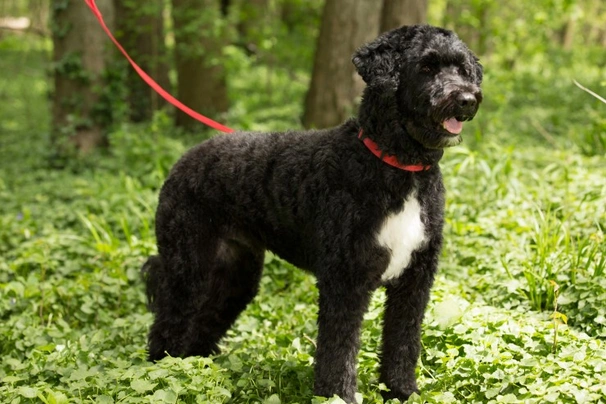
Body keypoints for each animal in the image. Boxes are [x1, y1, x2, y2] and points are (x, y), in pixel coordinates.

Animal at [144, 24, 484, 400]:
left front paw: (401, 392)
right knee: (167, 328)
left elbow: (403, 342)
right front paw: (338, 396)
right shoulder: (345, 279)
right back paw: (163, 377)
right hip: (188, 267)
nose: (468, 99)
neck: (397, 164)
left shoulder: (414, 279)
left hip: (233, 275)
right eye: (426, 67)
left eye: (462, 69)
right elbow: (339, 350)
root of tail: (181, 163)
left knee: (201, 325)